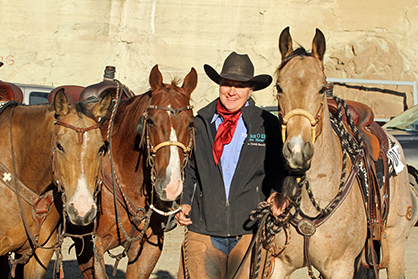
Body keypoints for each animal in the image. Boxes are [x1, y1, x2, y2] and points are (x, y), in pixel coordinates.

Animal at [255, 26, 414, 279]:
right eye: (279, 87)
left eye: (322, 88)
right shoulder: (277, 264)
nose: (297, 151)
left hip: (396, 245)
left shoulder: (340, 266)